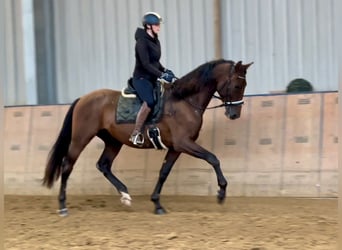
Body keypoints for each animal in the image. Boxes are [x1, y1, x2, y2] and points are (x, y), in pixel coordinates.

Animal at [42, 58, 252, 215]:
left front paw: (157, 204)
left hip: (113, 141)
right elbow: (213, 158)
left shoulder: (176, 148)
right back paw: (63, 206)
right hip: (81, 138)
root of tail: (83, 99)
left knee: (103, 165)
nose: (234, 114)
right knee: (67, 166)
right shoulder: (184, 143)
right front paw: (221, 192)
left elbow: (164, 172)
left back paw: (125, 195)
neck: (184, 101)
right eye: (236, 85)